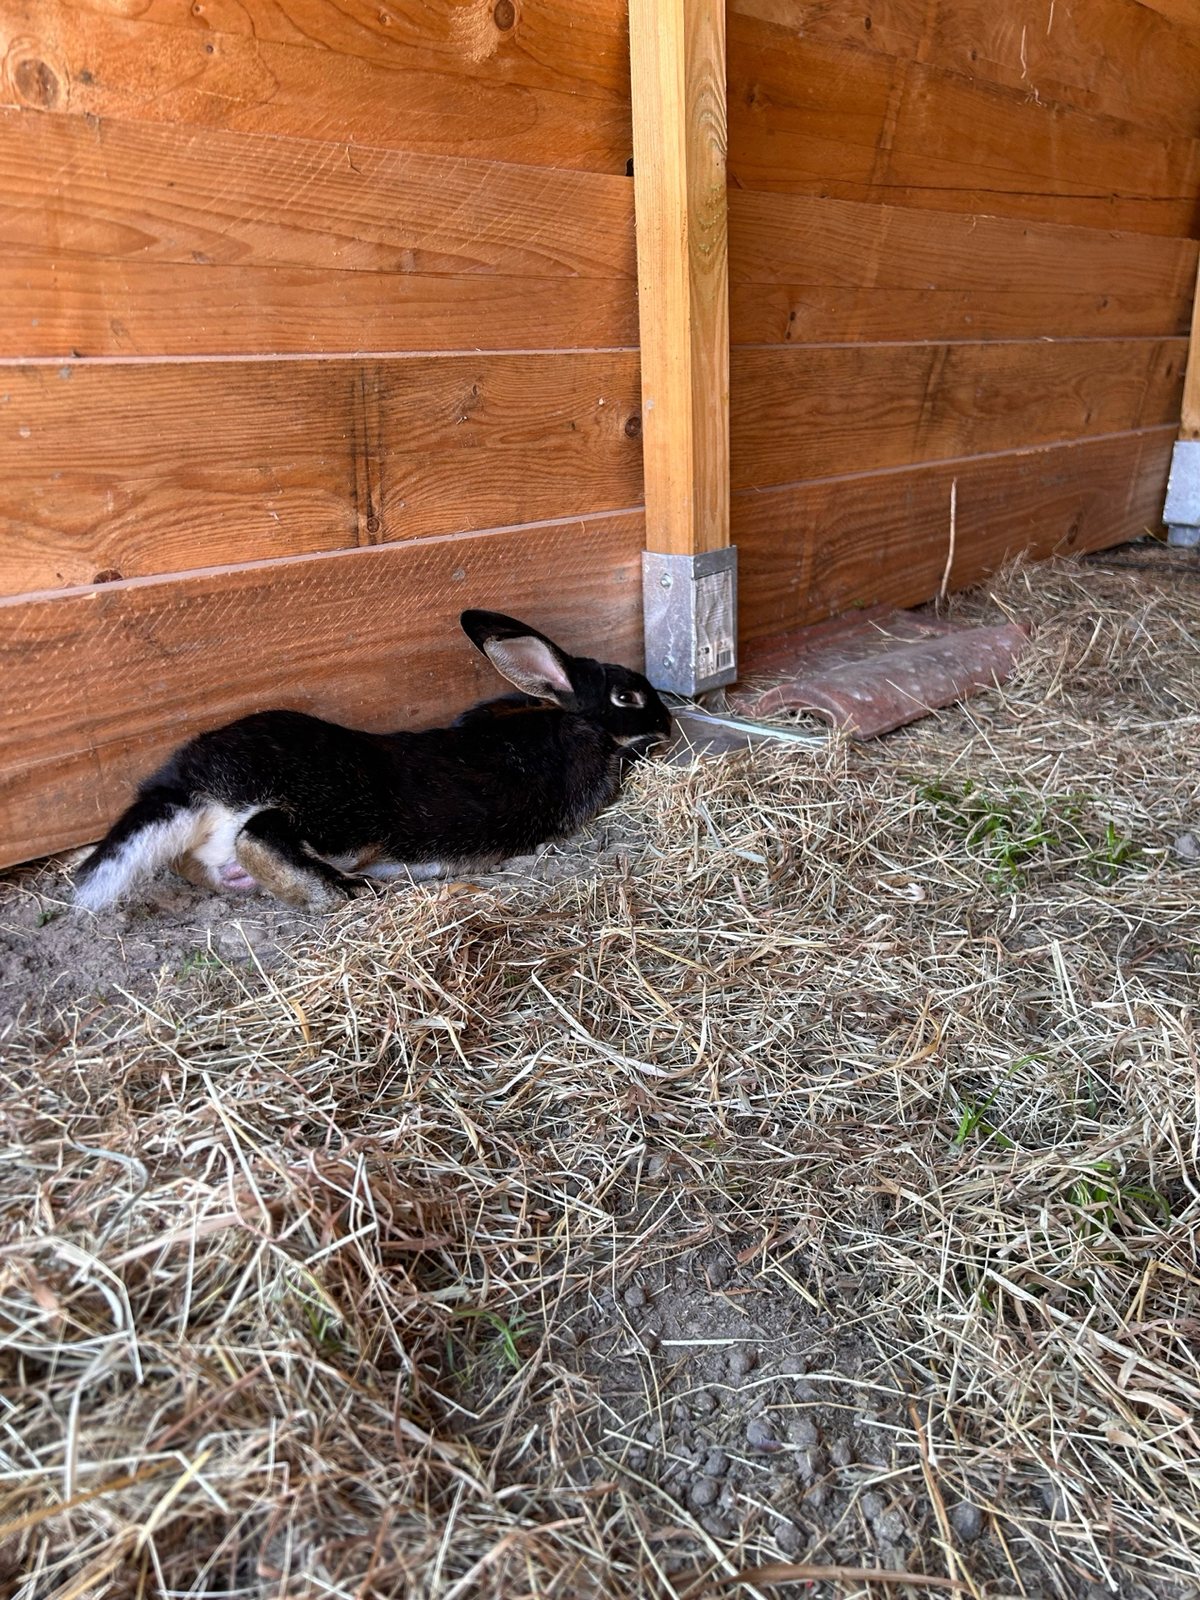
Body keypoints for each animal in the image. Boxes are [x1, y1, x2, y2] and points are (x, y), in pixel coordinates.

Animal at [72, 609, 672, 913]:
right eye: (627, 697)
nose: (667, 723)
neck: (576, 717)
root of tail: (199, 782)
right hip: (347, 817)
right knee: (262, 835)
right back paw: (344, 890)